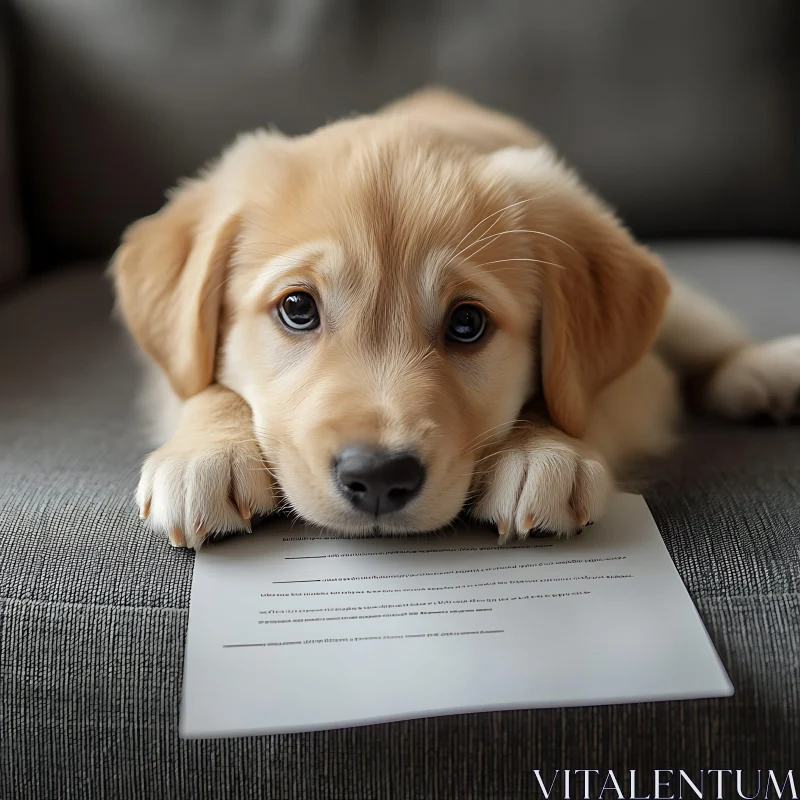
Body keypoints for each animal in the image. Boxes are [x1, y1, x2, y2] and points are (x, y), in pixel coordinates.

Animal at [111, 89, 800, 552]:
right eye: (297, 308)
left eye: (468, 324)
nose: (378, 479)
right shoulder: (164, 366)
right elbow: (201, 385)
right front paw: (206, 453)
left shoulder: (635, 384)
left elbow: (579, 401)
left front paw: (541, 449)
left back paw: (762, 373)